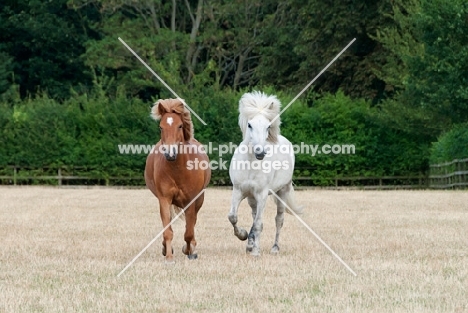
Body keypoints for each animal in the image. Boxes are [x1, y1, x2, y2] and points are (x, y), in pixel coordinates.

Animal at [145, 98, 211, 262]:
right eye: (161, 127)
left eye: (180, 125)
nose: (170, 153)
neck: (178, 170)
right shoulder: (164, 199)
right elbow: (167, 230)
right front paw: (168, 256)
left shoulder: (191, 201)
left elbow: (189, 231)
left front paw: (189, 251)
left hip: (199, 201)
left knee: (192, 224)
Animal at [228, 91, 304, 256]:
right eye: (249, 125)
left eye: (268, 126)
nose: (260, 153)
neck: (250, 164)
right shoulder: (238, 191)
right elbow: (233, 217)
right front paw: (243, 236)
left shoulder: (262, 194)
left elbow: (257, 224)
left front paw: (255, 251)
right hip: (251, 199)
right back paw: (251, 244)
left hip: (282, 192)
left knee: (278, 220)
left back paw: (274, 248)